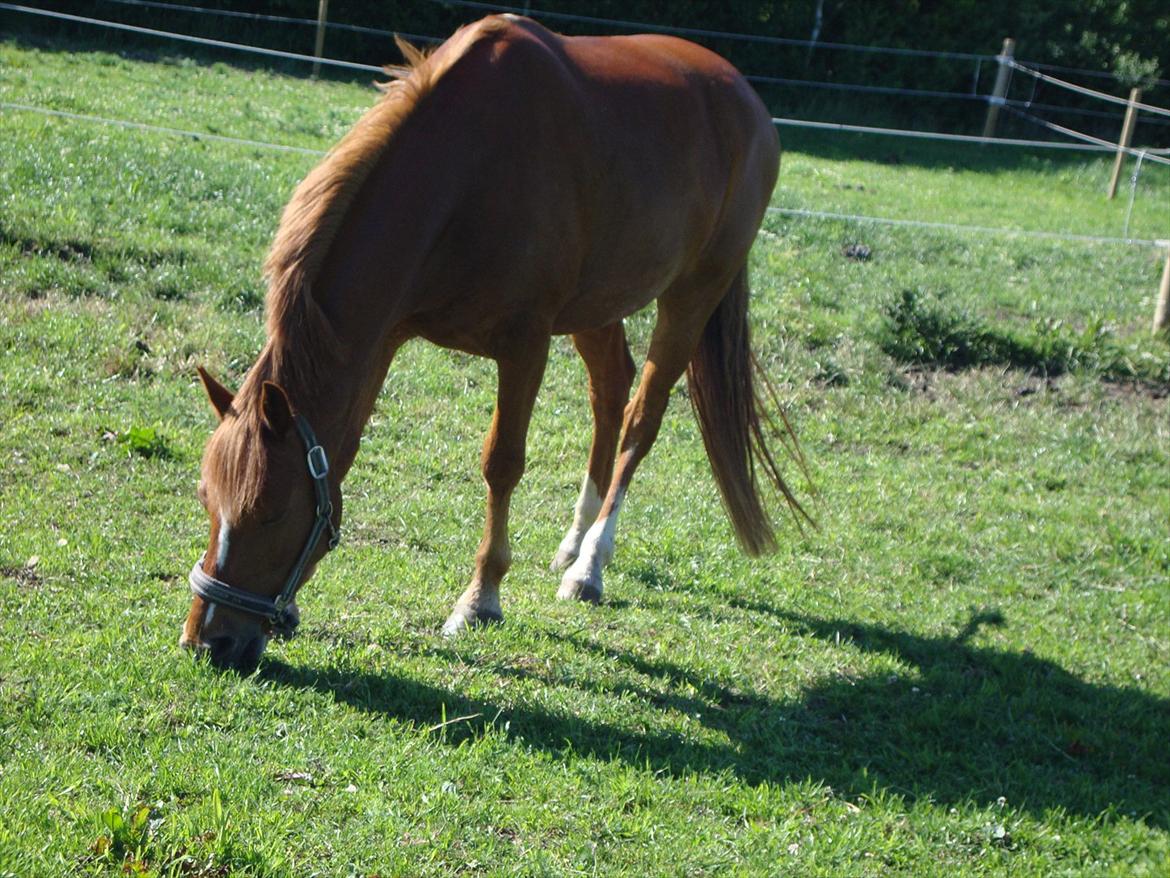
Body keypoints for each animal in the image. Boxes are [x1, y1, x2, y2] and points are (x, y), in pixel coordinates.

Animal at [180, 11, 804, 674]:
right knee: (611, 392)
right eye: (206, 500)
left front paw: (480, 598)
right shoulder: (385, 338)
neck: (464, 176)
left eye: (268, 511)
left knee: (642, 418)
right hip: (596, 306)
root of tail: (747, 101)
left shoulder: (524, 344)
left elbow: (501, 464)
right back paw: (573, 541)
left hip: (692, 294)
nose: (207, 642)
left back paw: (590, 565)